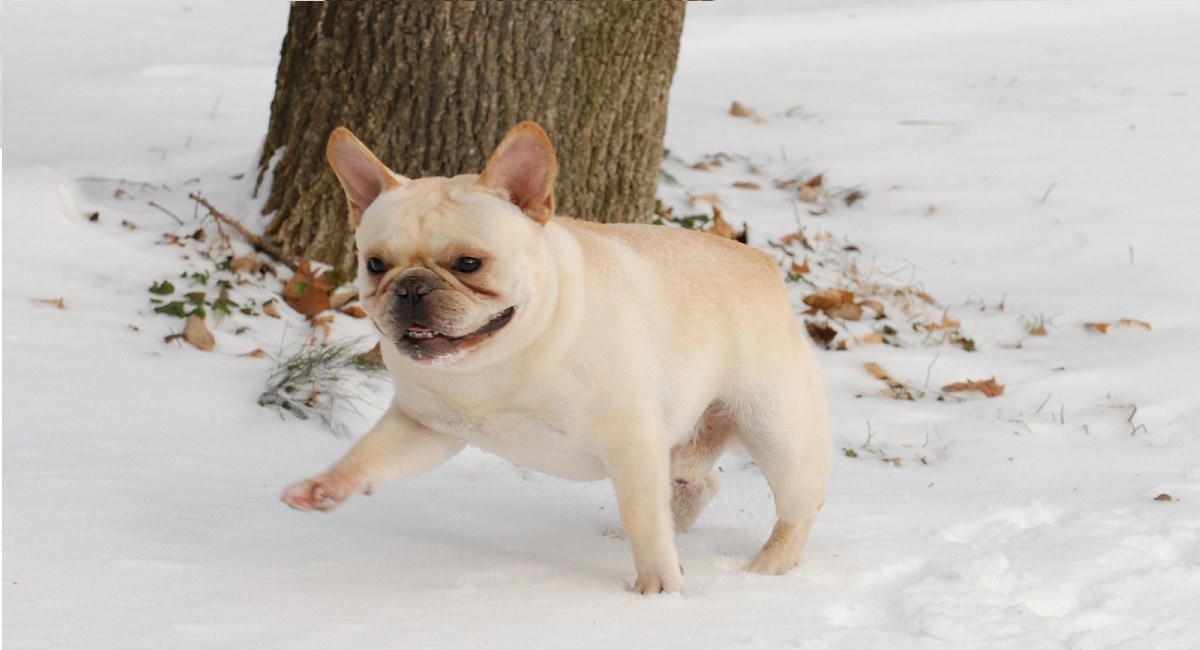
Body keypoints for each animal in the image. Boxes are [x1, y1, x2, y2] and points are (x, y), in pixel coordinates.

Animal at [282, 122, 830, 597]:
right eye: (375, 264)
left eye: (469, 263)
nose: (412, 287)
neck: (496, 361)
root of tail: (762, 264)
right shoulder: (424, 427)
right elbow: (370, 454)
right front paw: (328, 486)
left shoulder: (631, 441)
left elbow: (644, 520)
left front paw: (659, 587)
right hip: (682, 439)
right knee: (698, 483)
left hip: (778, 432)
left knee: (798, 508)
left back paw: (767, 568)